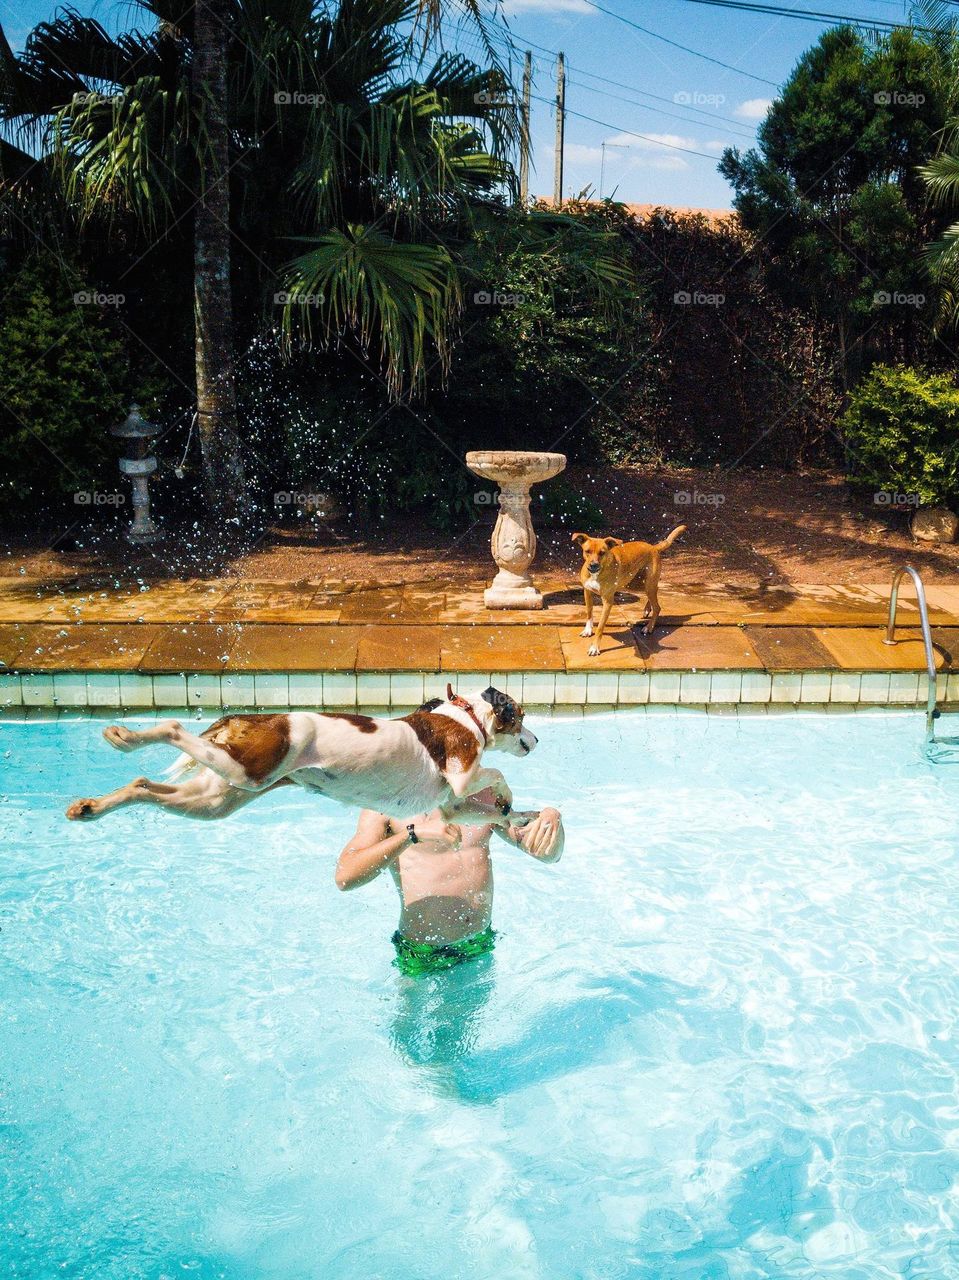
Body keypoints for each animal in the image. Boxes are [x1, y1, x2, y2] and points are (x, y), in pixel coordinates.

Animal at [65, 686, 537, 824]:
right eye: (520, 716)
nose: (535, 741)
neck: (464, 715)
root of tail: (247, 718)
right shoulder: (463, 775)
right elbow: (497, 771)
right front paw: (509, 797)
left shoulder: (451, 805)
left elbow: (488, 813)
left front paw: (518, 816)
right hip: (249, 770)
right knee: (173, 728)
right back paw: (125, 736)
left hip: (217, 798)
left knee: (143, 785)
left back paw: (90, 806)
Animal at [573, 524, 686, 655]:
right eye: (587, 551)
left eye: (602, 553)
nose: (593, 565)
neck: (596, 573)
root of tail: (653, 547)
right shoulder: (587, 592)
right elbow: (589, 612)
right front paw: (588, 630)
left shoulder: (608, 601)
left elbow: (600, 626)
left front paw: (594, 647)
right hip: (636, 584)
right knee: (655, 591)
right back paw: (647, 609)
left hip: (646, 584)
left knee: (657, 606)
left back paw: (649, 627)